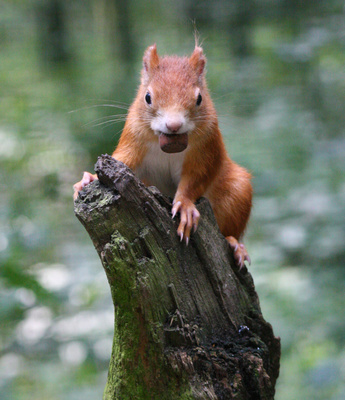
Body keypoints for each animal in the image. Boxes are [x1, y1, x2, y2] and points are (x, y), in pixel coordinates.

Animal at [74, 43, 251, 268]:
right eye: (147, 97)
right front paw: (88, 179)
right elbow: (123, 159)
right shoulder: (132, 140)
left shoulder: (207, 148)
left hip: (237, 192)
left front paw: (185, 206)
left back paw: (235, 245)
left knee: (229, 228)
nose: (174, 125)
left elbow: (197, 177)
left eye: (199, 98)